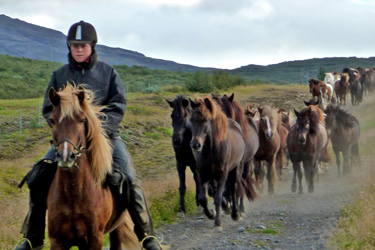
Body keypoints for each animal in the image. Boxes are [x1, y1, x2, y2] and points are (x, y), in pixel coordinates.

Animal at [46, 84, 139, 250]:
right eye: (52, 120)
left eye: (82, 120)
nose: (65, 156)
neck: (74, 193)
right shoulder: (57, 241)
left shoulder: (95, 239)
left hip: (117, 228)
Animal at [191, 96, 247, 231]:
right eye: (191, 120)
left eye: (205, 120)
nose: (195, 144)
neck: (211, 151)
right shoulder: (203, 175)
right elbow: (203, 199)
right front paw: (211, 214)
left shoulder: (222, 176)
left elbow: (217, 198)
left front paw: (218, 223)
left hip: (236, 169)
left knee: (233, 188)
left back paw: (235, 213)